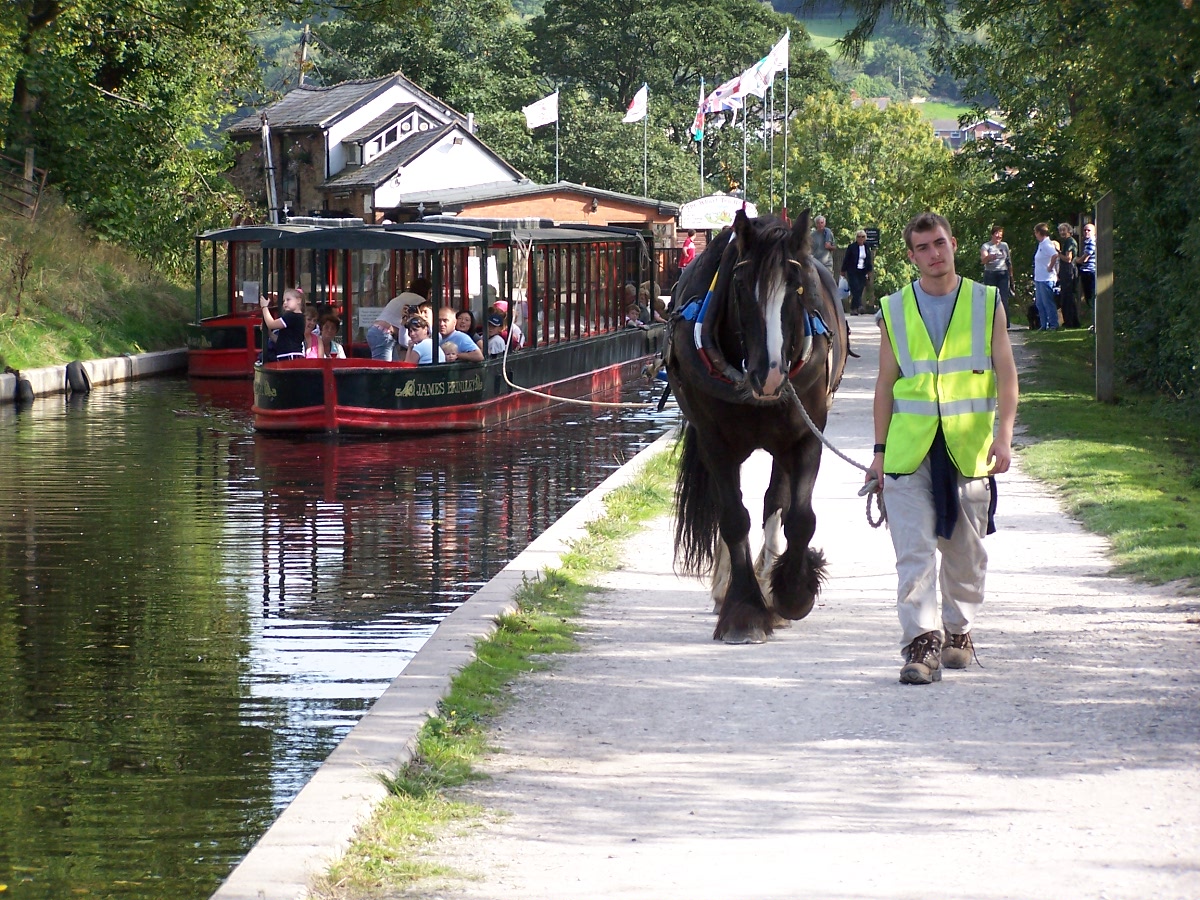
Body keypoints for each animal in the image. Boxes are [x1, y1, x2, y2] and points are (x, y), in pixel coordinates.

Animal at [667, 207, 854, 643]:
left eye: (798, 287)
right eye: (738, 285)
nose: (769, 376)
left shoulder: (805, 435)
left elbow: (799, 516)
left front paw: (791, 592)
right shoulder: (714, 441)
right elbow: (733, 517)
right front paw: (744, 610)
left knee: (775, 501)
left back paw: (770, 580)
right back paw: (728, 588)